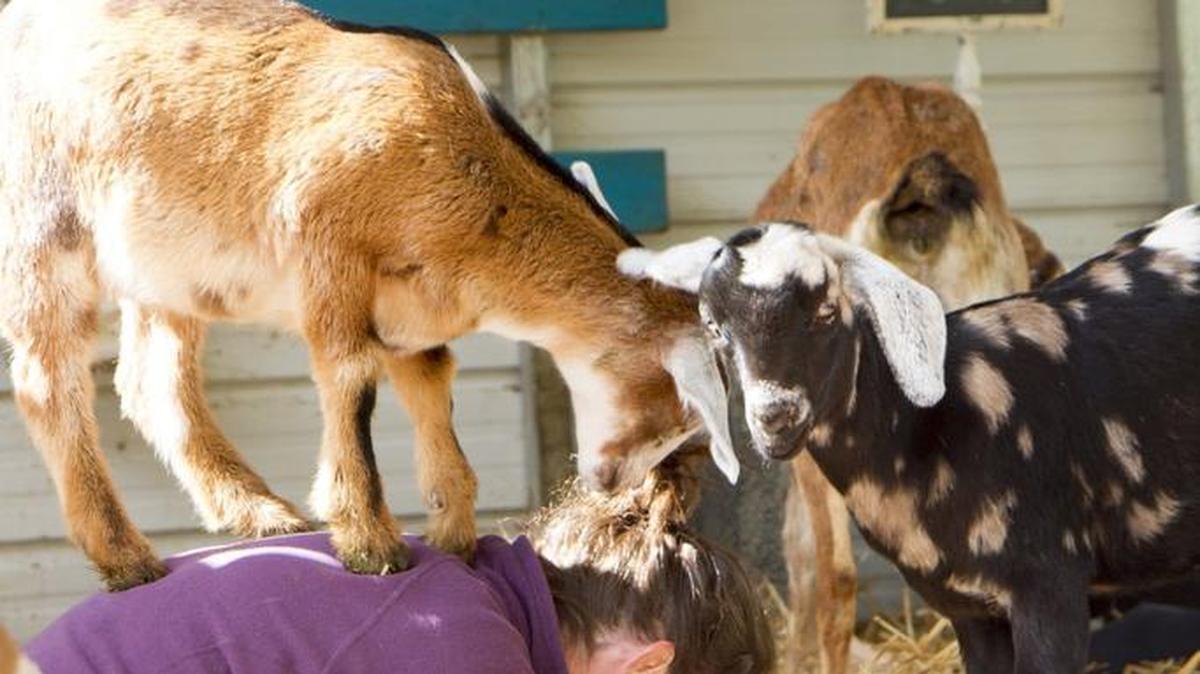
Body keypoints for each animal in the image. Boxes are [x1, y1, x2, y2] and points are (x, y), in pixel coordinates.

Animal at [0, 0, 736, 590]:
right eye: (674, 410)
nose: (612, 483)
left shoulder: (416, 309)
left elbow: (432, 381)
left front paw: (454, 532)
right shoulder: (328, 251)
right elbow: (351, 381)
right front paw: (370, 543)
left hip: (165, 266)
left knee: (150, 380)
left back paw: (262, 515)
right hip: (43, 221)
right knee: (47, 378)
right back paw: (126, 557)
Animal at [621, 207, 1200, 673]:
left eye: (825, 312)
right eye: (715, 327)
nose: (776, 416)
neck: (931, 429)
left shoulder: (1050, 585)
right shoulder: (971, 611)